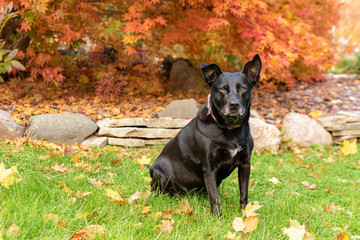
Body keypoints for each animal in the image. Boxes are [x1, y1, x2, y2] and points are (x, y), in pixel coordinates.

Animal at [149, 54, 262, 216]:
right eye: (222, 89)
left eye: (243, 88)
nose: (234, 104)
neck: (230, 130)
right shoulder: (210, 167)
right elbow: (214, 197)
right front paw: (218, 218)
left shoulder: (245, 164)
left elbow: (244, 193)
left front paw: (244, 214)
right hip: (162, 171)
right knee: (158, 192)